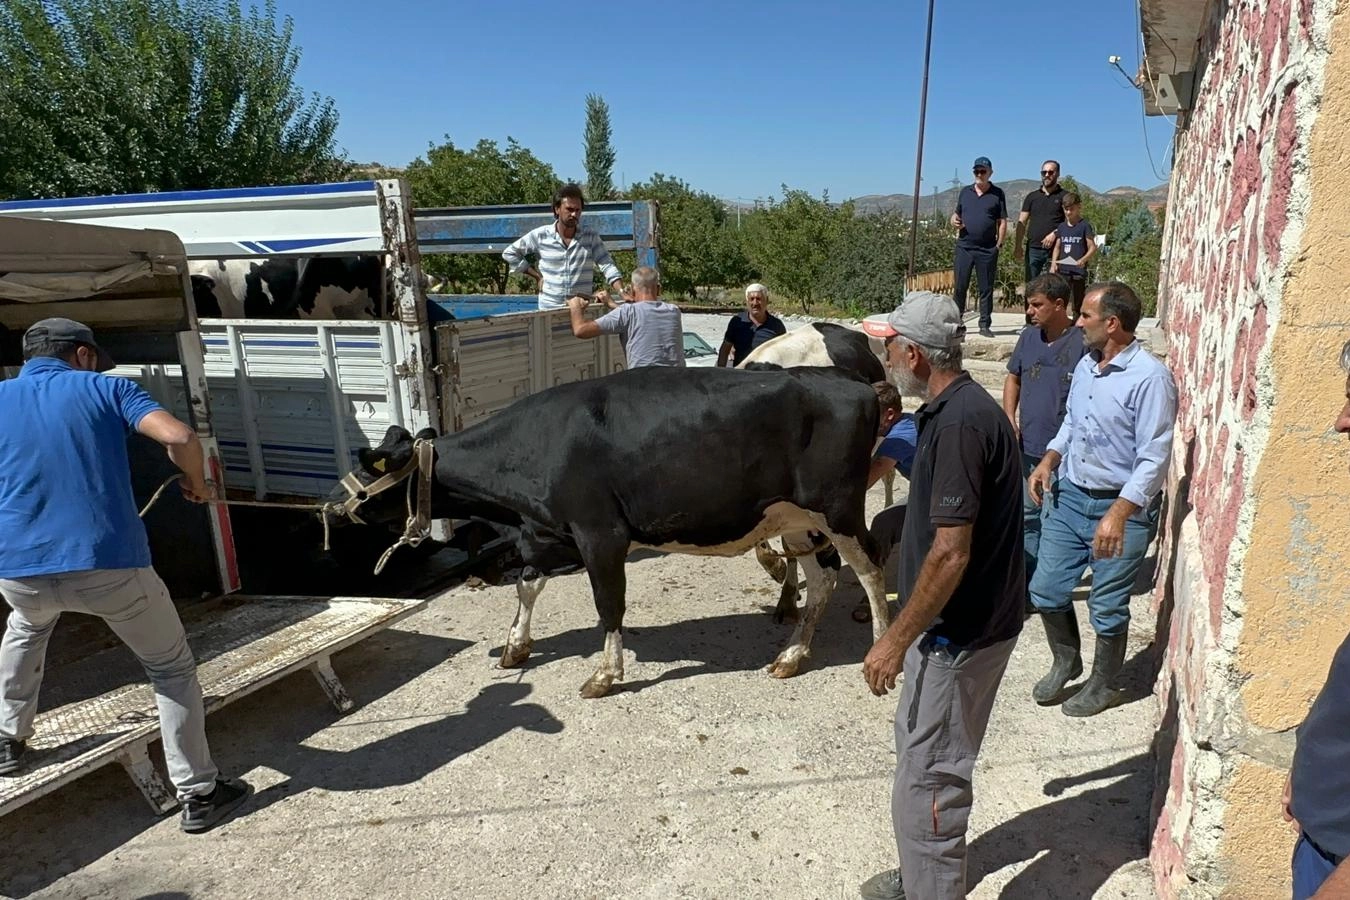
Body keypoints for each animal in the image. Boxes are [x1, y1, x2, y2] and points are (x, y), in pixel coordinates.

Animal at [332, 361, 891, 701]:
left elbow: (609, 604)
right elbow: (526, 585)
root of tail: (850, 381)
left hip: (838, 509)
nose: (333, 508)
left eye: (368, 473)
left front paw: (605, 675)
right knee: (824, 578)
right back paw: (791, 656)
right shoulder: (546, 532)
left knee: (870, 566)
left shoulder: (599, 533)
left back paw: (878, 650)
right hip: (798, 520)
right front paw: (515, 647)